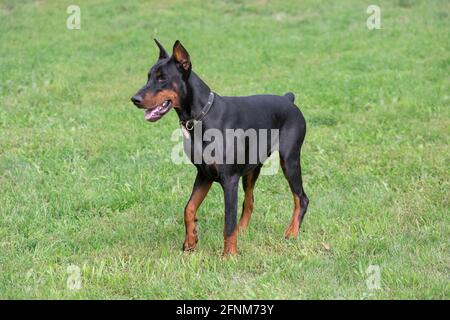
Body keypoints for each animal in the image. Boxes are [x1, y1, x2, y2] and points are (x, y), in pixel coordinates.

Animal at [131, 39, 310, 255]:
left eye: (162, 78)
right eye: (148, 76)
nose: (134, 99)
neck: (202, 116)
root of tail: (288, 99)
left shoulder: (229, 179)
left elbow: (228, 221)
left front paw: (229, 254)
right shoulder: (204, 174)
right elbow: (189, 208)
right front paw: (190, 241)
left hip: (289, 160)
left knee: (301, 197)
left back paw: (292, 232)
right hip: (252, 168)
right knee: (249, 201)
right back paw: (244, 230)